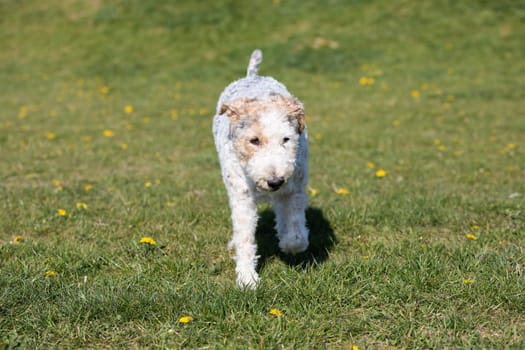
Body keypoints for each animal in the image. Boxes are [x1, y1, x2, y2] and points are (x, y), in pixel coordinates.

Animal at [212, 49, 310, 288]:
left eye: (286, 139)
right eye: (254, 140)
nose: (274, 181)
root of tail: (252, 76)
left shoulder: (294, 188)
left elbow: (295, 232)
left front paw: (288, 244)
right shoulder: (242, 196)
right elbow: (245, 238)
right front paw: (247, 279)